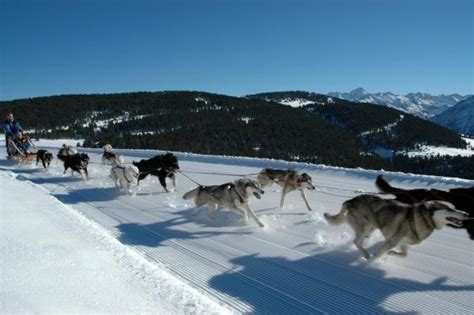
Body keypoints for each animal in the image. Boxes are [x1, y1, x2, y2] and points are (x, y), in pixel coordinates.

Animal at [324, 195, 468, 262]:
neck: (423, 220)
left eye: (455, 207)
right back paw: (365, 254)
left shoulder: (403, 243)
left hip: (371, 227)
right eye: (448, 209)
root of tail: (351, 200)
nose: (466, 214)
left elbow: (404, 255)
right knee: (356, 241)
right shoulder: (392, 241)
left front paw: (391, 254)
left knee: (359, 240)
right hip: (363, 226)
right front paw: (371, 260)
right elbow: (379, 254)